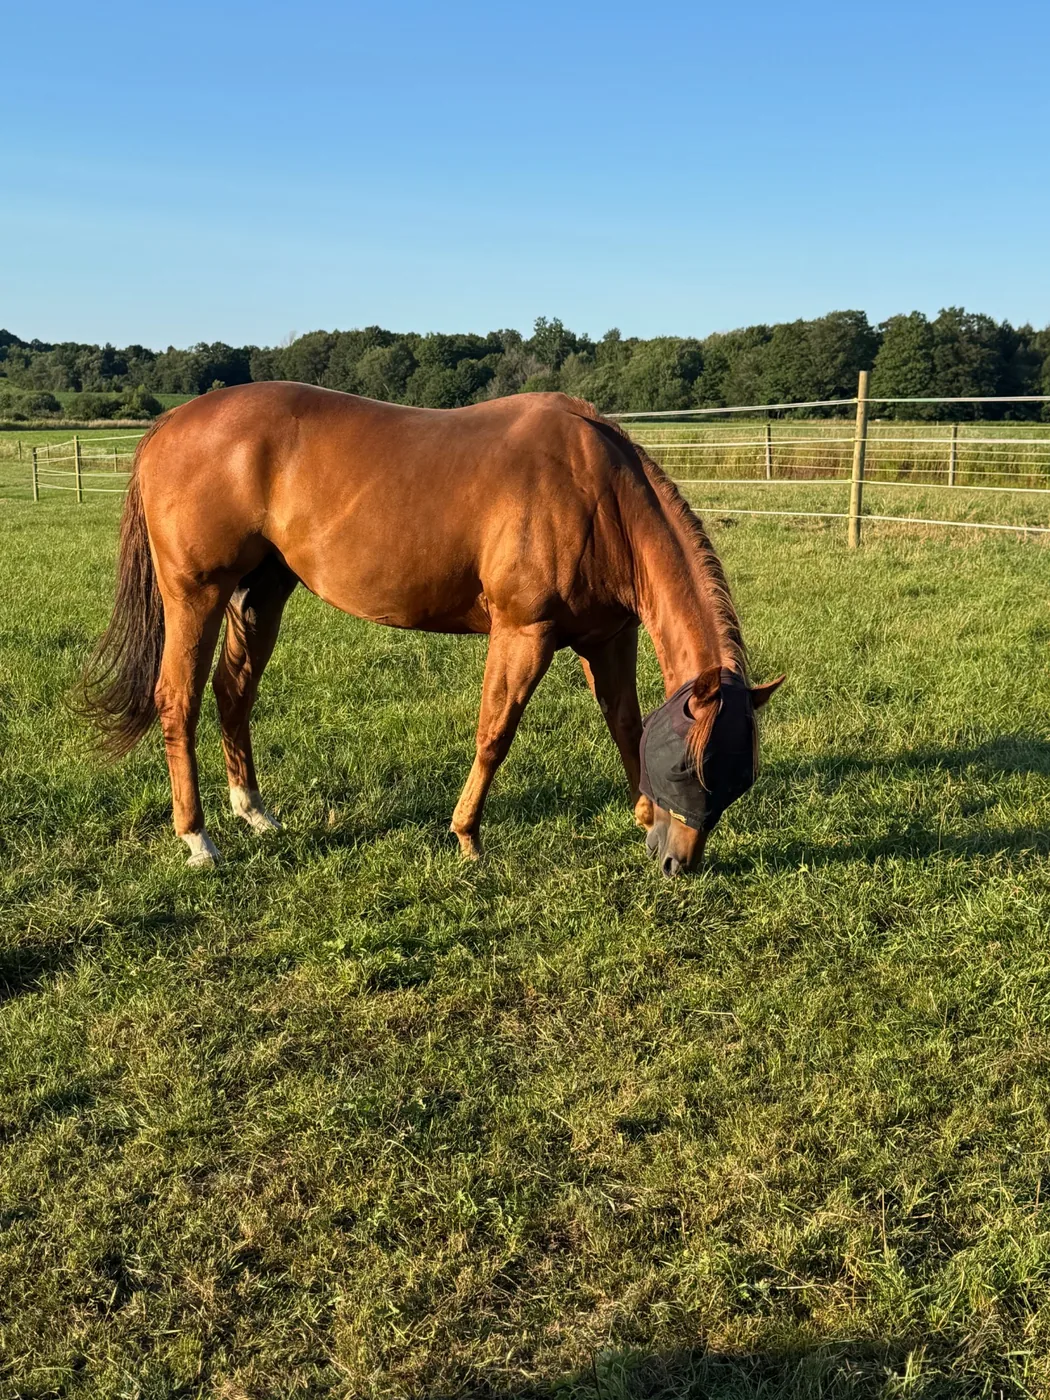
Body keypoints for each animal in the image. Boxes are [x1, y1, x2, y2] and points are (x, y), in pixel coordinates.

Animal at [81, 383, 782, 876]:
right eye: (691, 770)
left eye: (738, 779)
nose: (677, 862)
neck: (597, 493)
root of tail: (171, 423)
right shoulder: (523, 633)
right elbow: (495, 733)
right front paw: (467, 836)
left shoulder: (607, 639)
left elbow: (625, 726)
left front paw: (638, 813)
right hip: (196, 596)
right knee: (178, 701)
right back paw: (198, 839)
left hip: (262, 593)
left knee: (234, 694)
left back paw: (253, 811)